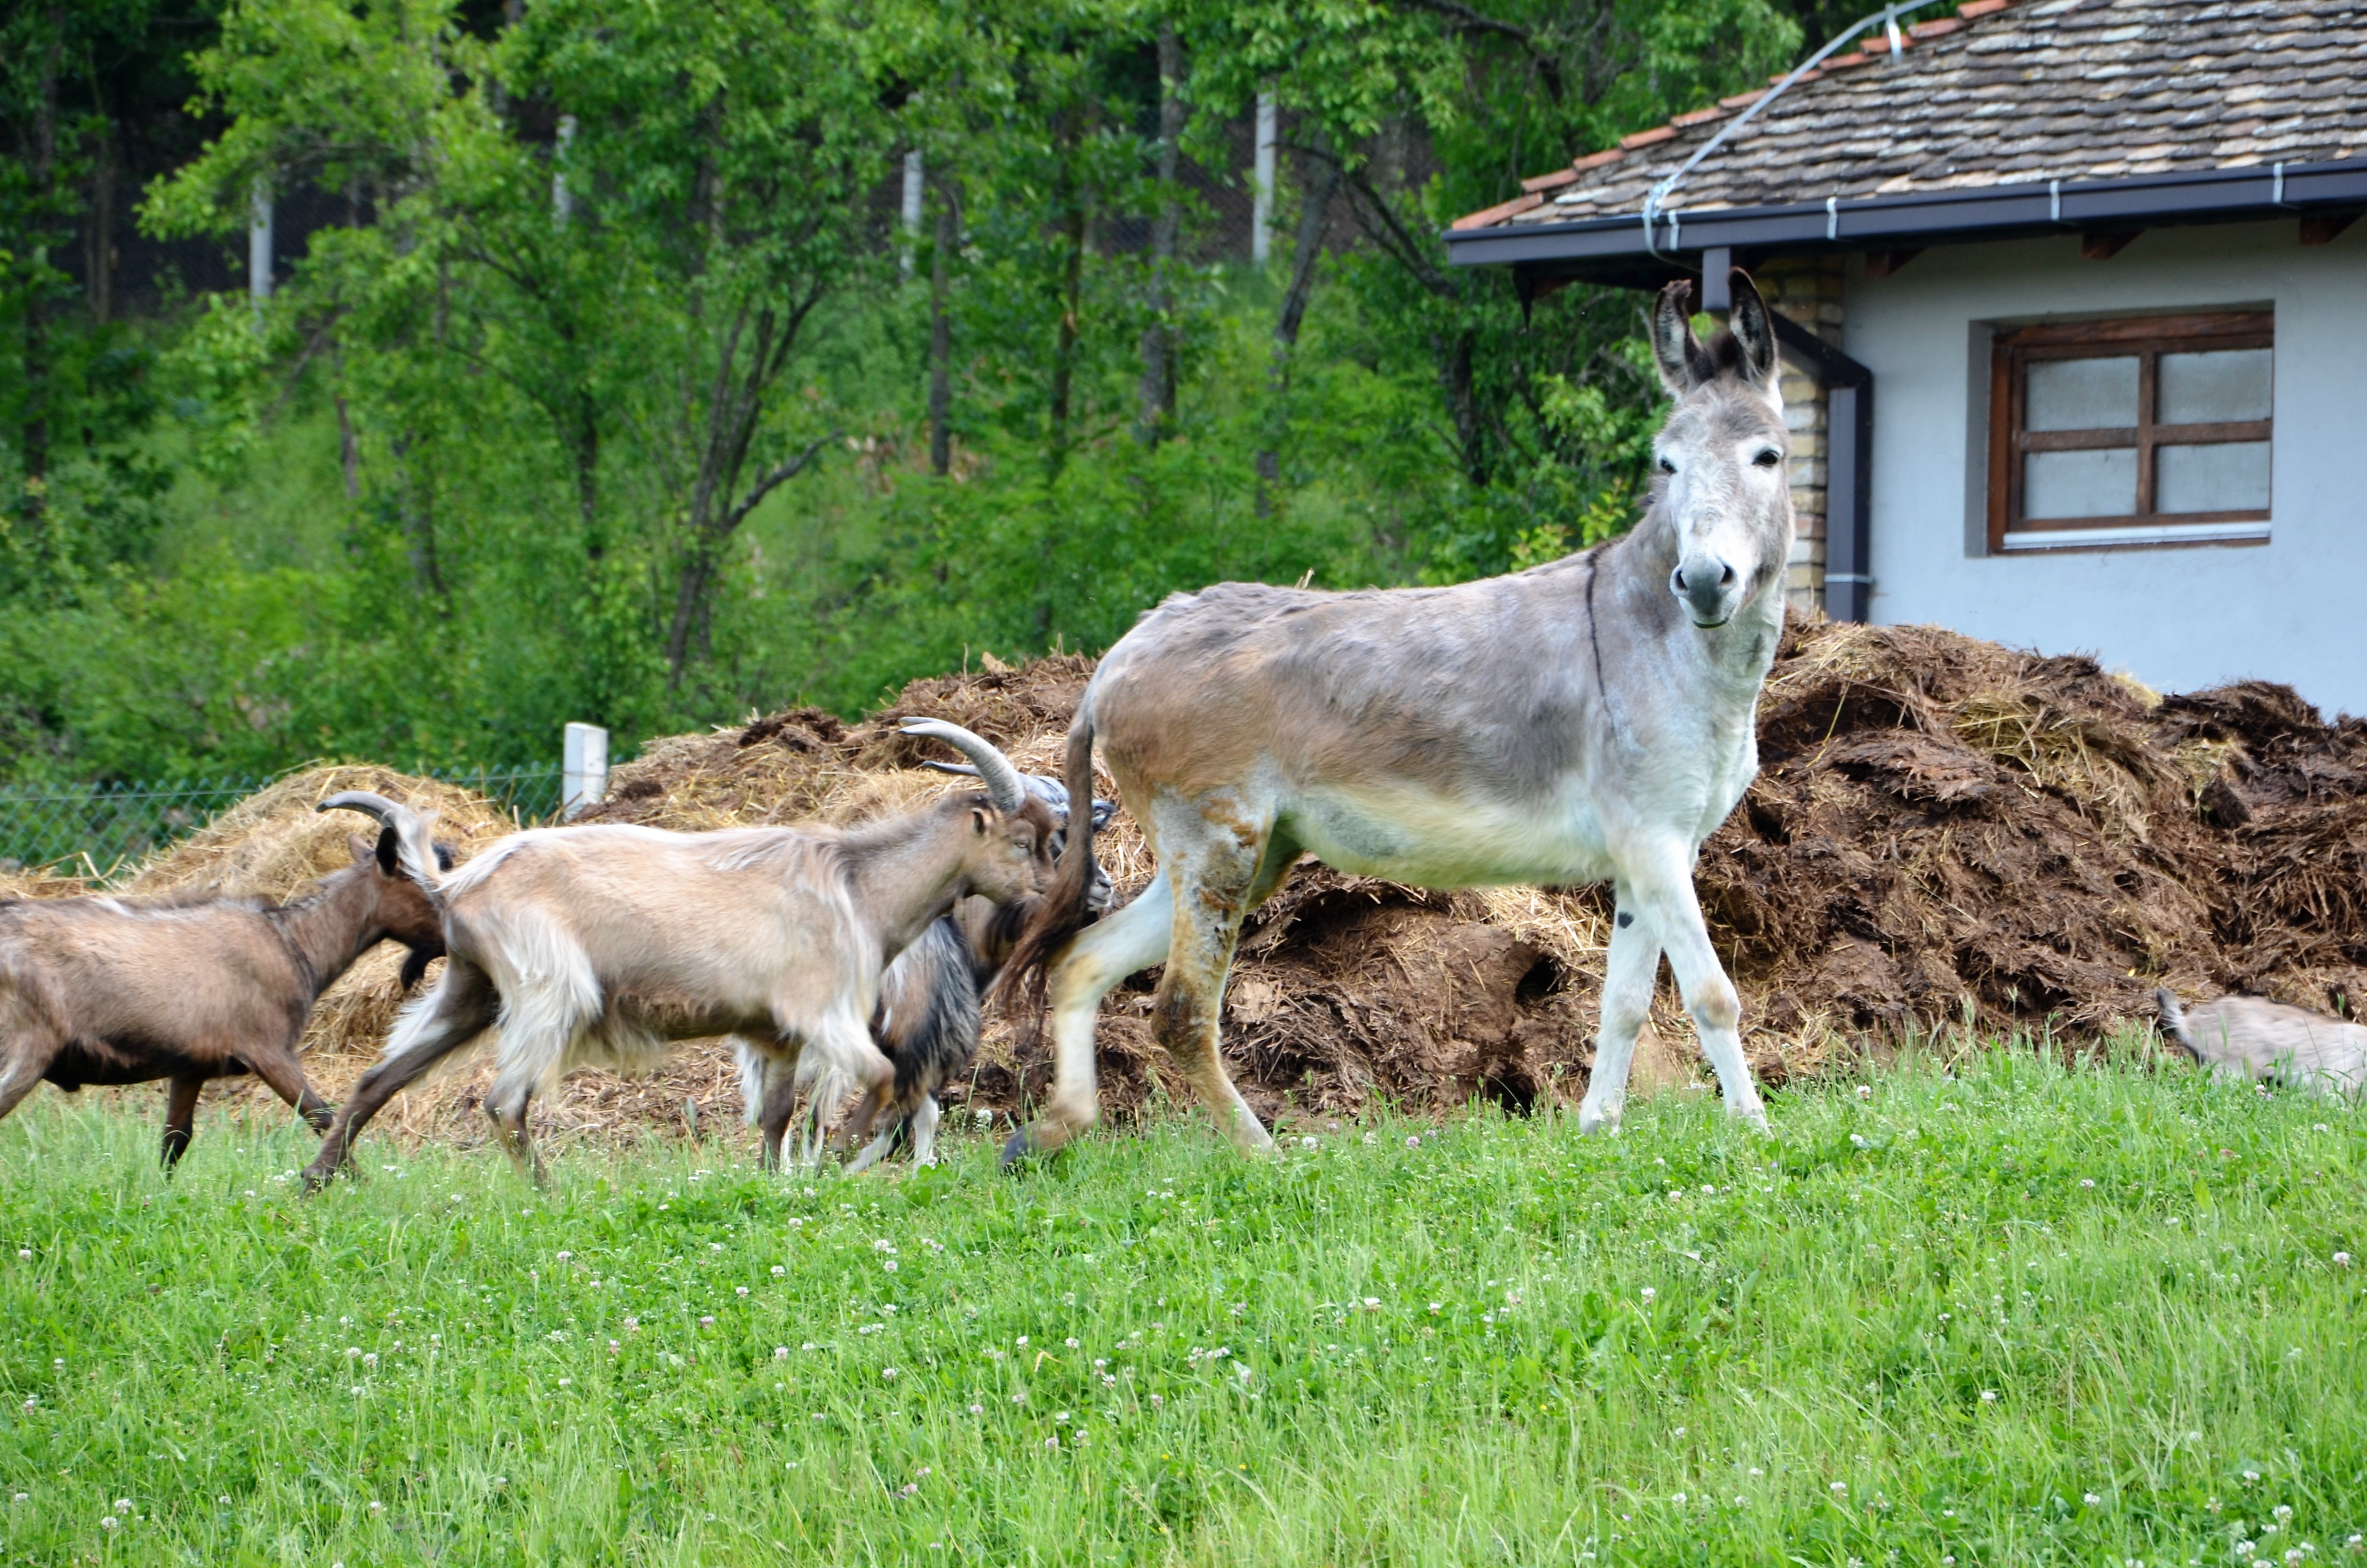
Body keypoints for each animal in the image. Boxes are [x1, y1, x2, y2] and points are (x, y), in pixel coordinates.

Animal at [0, 825, 449, 1167]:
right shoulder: (269, 1050)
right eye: (427, 885)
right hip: (28, 1046)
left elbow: (175, 1139)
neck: (294, 943)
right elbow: (322, 1117)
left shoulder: (190, 1065)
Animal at [300, 720, 1058, 1186]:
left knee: (378, 1079)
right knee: (503, 1101)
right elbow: (879, 1078)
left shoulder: (777, 1036)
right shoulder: (822, 1013)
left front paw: (775, 1180)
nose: (1052, 894)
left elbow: (777, 1115)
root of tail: (458, 883)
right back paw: (548, 1192)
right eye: (1023, 841)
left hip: (470, 989)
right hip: (549, 991)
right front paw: (838, 1157)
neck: (858, 885)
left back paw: (315, 1180)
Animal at [998, 270, 1794, 1159]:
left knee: (1082, 962)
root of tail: (1121, 652)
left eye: (1767, 457)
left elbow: (1623, 1002)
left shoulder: (1650, 854)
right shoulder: (1653, 841)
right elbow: (1712, 994)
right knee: (1178, 1013)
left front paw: (1599, 1131)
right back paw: (1263, 1155)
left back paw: (1055, 1129)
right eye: (1666, 463)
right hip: (1218, 847)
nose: (1704, 582)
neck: (1664, 637)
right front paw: (1756, 1134)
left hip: (1235, 856)